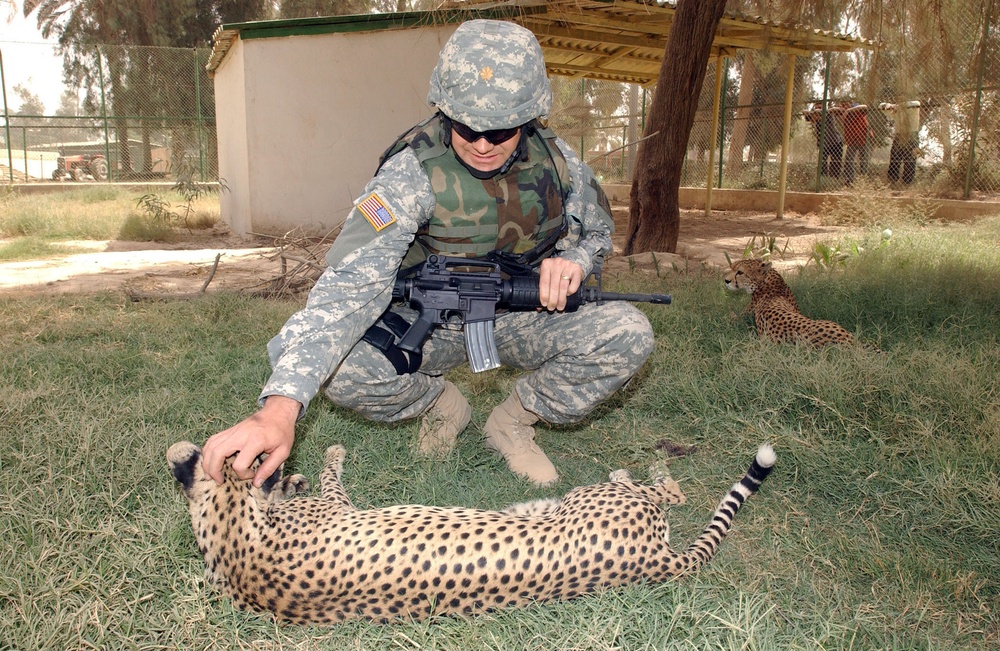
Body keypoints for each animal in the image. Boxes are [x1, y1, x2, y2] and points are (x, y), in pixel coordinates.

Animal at [168, 444, 776, 628]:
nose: (270, 463)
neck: (236, 555)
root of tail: (655, 561)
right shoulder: (333, 507)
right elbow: (329, 479)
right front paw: (319, 462)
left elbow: (315, 482)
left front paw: (295, 474)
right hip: (588, 502)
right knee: (661, 492)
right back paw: (640, 472)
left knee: (668, 494)